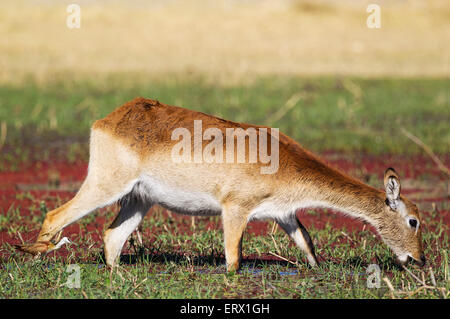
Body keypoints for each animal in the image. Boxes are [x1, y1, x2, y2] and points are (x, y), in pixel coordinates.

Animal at [16, 98, 426, 272]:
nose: (419, 260)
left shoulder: (283, 214)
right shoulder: (235, 208)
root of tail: (110, 118)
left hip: (139, 200)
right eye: (414, 221)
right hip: (106, 184)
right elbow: (233, 260)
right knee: (55, 215)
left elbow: (308, 246)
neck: (283, 161)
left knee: (111, 236)